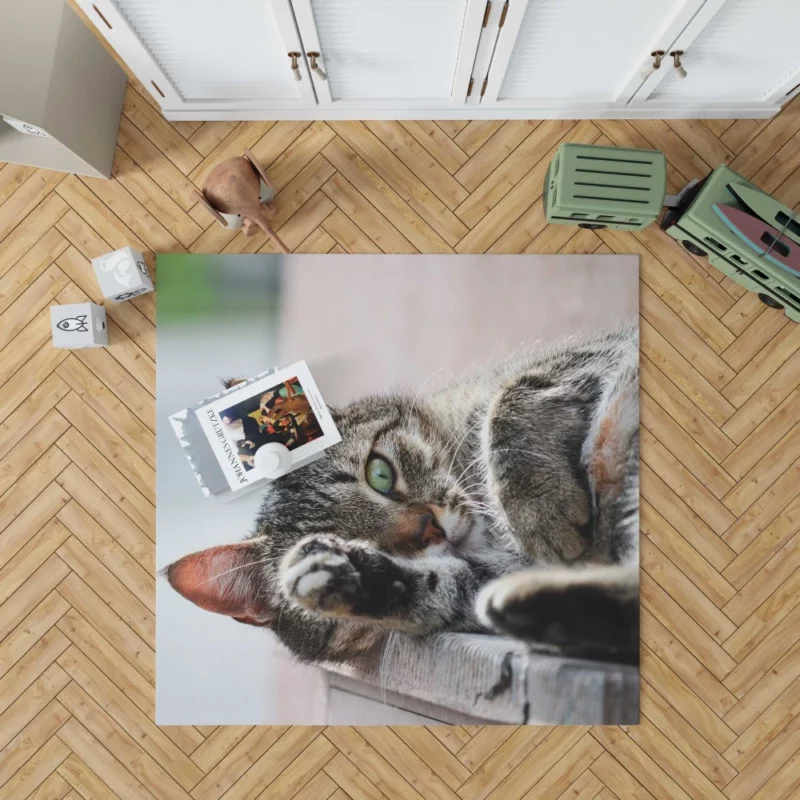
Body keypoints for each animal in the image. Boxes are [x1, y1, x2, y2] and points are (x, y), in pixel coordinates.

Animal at [166, 326, 640, 668]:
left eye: (379, 473)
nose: (430, 530)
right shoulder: (488, 572)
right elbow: (445, 585)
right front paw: (343, 574)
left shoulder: (594, 353)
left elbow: (511, 399)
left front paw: (539, 510)